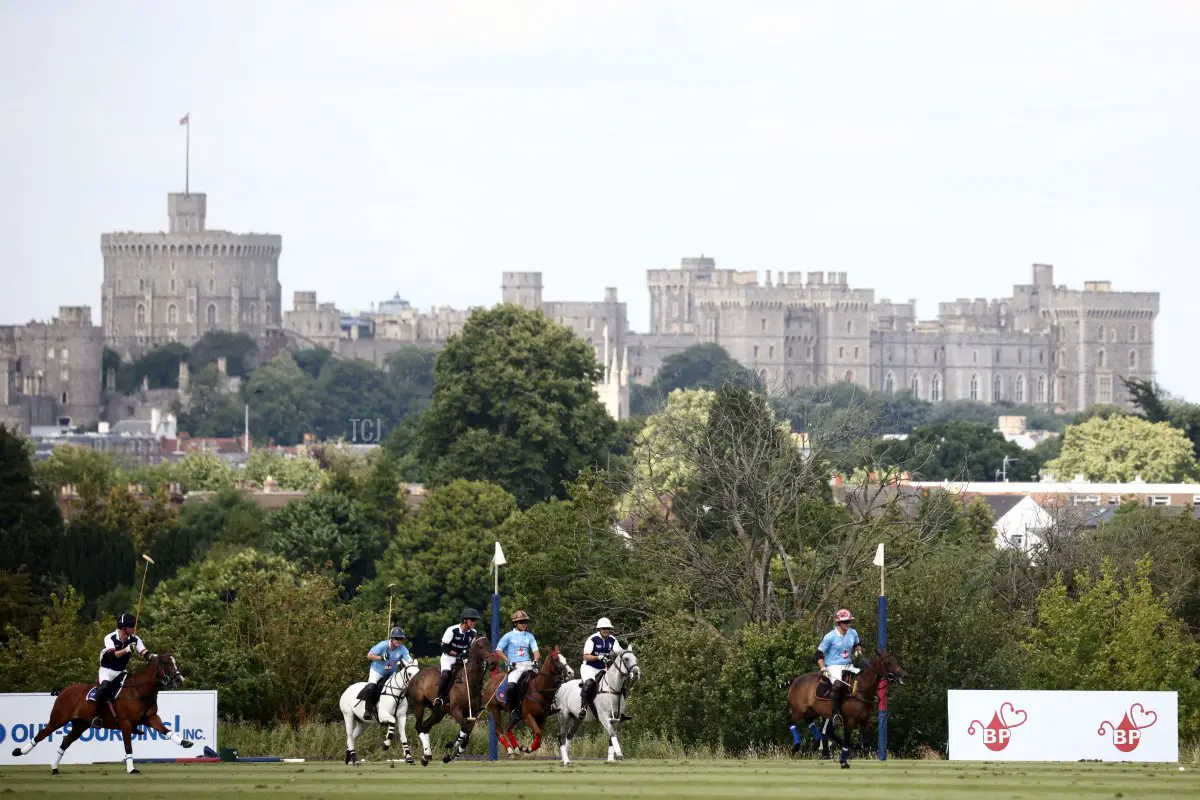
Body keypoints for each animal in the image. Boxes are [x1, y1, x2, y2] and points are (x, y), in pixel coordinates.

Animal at [8, 652, 193, 777]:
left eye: (174, 662)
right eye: (166, 662)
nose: (179, 680)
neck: (139, 690)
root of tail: (63, 691)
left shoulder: (151, 718)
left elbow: (167, 731)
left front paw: (185, 742)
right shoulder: (125, 722)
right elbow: (128, 746)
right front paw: (131, 768)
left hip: (80, 725)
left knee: (65, 741)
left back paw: (54, 768)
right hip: (58, 718)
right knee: (42, 733)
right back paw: (19, 752)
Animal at [405, 633, 494, 767]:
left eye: (490, 644)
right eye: (480, 646)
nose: (493, 662)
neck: (469, 682)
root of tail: (415, 676)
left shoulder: (473, 714)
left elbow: (466, 736)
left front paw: (448, 757)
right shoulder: (456, 710)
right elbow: (464, 730)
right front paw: (450, 745)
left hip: (439, 711)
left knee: (426, 726)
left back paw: (426, 756)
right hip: (418, 705)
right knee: (419, 726)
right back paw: (426, 756)